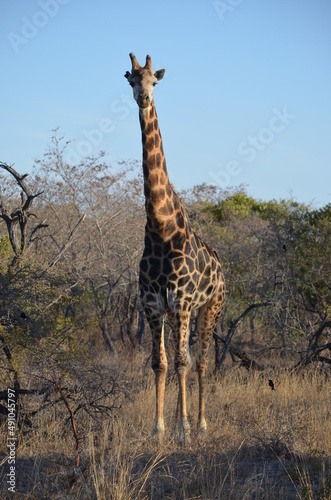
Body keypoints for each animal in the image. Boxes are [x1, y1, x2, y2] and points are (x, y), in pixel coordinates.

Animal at [126, 51, 227, 442]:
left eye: (154, 80)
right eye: (132, 79)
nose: (143, 98)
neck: (161, 227)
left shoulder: (183, 302)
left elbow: (183, 362)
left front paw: (183, 428)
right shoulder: (154, 304)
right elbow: (160, 363)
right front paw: (159, 428)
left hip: (211, 308)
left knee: (200, 361)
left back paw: (200, 424)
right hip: (175, 313)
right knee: (180, 357)